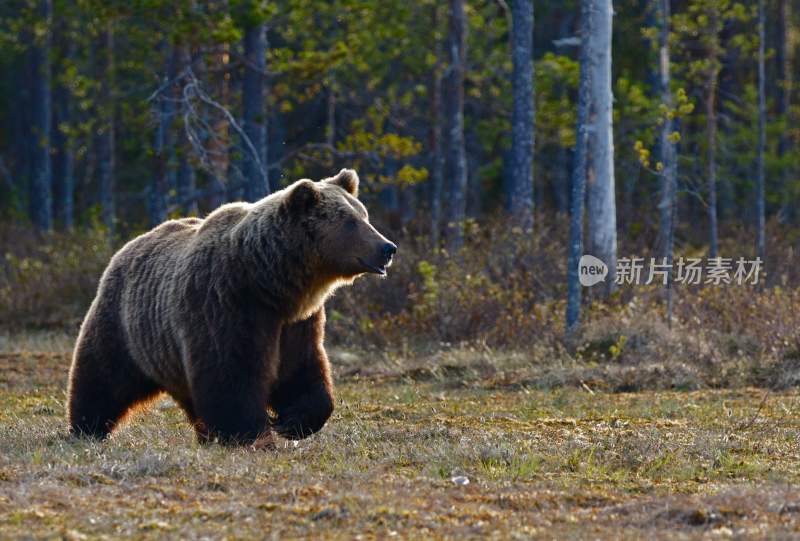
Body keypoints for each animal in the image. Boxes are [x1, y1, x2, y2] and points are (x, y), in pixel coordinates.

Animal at [66, 170, 396, 448]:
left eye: (364, 215)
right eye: (350, 221)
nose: (387, 247)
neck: (270, 282)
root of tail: (128, 246)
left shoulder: (296, 322)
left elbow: (302, 370)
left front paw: (292, 422)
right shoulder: (227, 304)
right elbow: (231, 373)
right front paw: (252, 434)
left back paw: (204, 434)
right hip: (125, 324)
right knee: (102, 376)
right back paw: (86, 428)